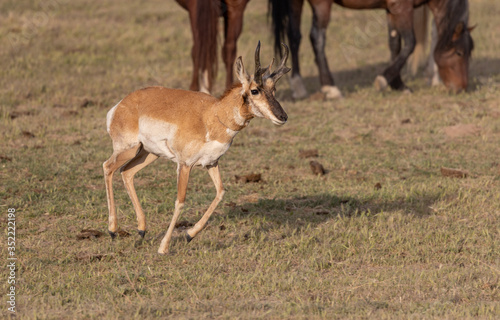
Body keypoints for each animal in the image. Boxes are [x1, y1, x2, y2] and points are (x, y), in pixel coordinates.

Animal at [102, 41, 290, 254]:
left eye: (274, 89)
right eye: (255, 90)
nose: (283, 117)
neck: (212, 115)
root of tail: (120, 105)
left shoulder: (211, 163)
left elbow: (221, 192)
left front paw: (189, 234)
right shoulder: (185, 165)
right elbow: (180, 201)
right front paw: (164, 247)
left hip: (148, 154)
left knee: (126, 172)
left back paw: (141, 230)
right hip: (129, 149)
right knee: (108, 167)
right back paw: (112, 230)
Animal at [272, 0, 474, 98]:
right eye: (459, 53)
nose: (462, 88)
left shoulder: (392, 10)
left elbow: (395, 42)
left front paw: (398, 84)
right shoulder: (403, 7)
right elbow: (410, 43)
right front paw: (384, 80)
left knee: (294, 36)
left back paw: (298, 85)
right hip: (321, 5)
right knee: (317, 37)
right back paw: (330, 86)